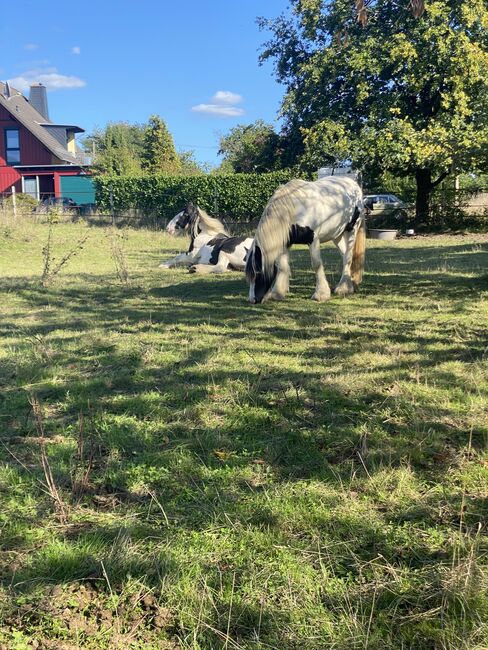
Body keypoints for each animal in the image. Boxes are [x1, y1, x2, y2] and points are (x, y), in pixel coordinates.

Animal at [246, 176, 364, 306]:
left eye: (257, 272)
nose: (252, 300)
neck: (294, 211)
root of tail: (353, 184)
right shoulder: (285, 243)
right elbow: (282, 266)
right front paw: (277, 293)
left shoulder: (313, 239)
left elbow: (316, 265)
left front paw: (321, 295)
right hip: (337, 235)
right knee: (344, 255)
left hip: (351, 230)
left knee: (348, 256)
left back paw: (344, 288)